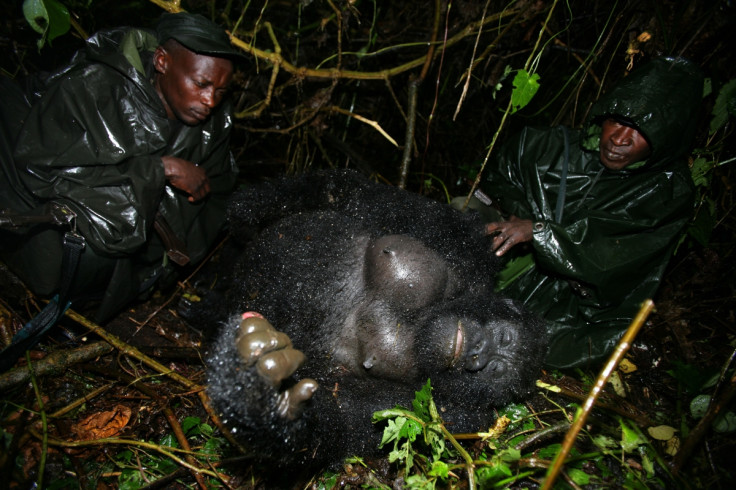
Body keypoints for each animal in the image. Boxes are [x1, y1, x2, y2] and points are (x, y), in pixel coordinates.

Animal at [201, 170, 548, 468]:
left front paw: (268, 404)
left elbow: (344, 422)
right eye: (503, 338)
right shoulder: (463, 242)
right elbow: (350, 192)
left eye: (495, 371)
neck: (424, 322)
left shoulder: (459, 417)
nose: (476, 353)